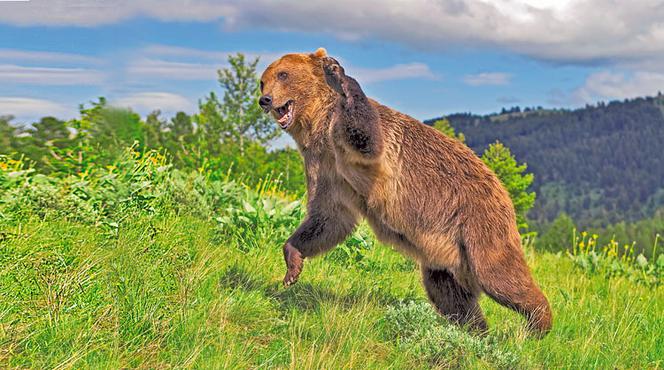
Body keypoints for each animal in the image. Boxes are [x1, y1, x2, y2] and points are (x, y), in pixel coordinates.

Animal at [256, 47, 552, 334]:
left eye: (283, 74)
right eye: (263, 80)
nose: (265, 100)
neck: (318, 125)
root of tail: (502, 188)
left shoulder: (358, 143)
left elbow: (366, 137)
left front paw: (338, 74)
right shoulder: (326, 166)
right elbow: (328, 216)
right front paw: (292, 264)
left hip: (479, 222)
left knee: (498, 274)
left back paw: (538, 324)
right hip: (446, 253)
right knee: (449, 293)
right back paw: (476, 330)